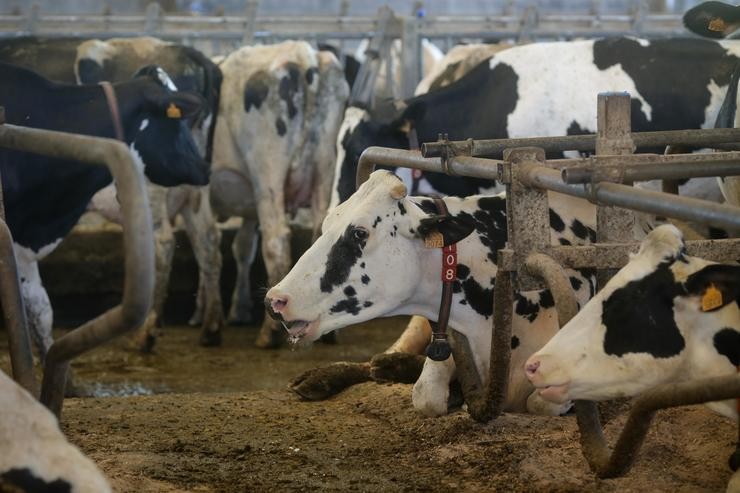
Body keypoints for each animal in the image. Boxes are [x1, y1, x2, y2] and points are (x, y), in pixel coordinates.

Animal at [264, 169, 600, 416]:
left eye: (360, 232)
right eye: (326, 224)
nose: (275, 300)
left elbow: (540, 402)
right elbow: (425, 394)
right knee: (379, 359)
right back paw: (326, 376)